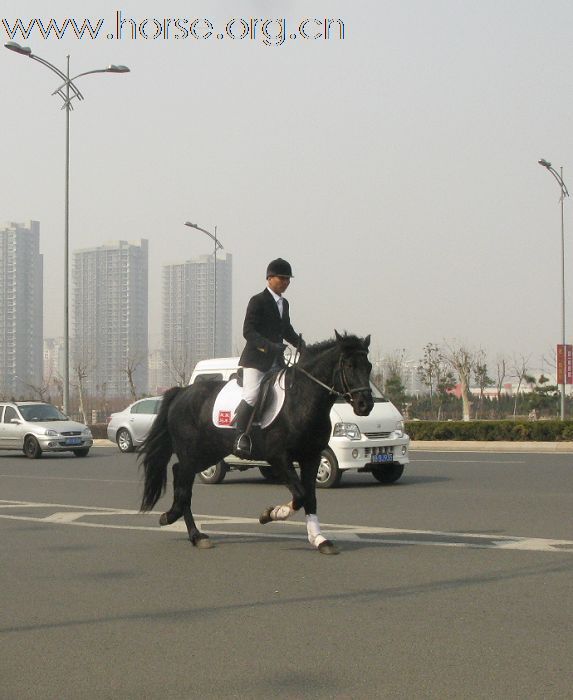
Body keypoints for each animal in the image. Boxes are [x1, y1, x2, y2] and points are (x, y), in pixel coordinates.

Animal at [138, 330, 370, 556]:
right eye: (350, 366)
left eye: (368, 366)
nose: (365, 405)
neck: (301, 400)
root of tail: (183, 392)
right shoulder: (279, 457)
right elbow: (301, 495)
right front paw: (270, 514)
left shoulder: (311, 457)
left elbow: (310, 498)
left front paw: (320, 540)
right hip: (192, 452)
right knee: (184, 485)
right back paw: (187, 529)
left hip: (209, 453)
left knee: (179, 473)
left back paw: (183, 525)